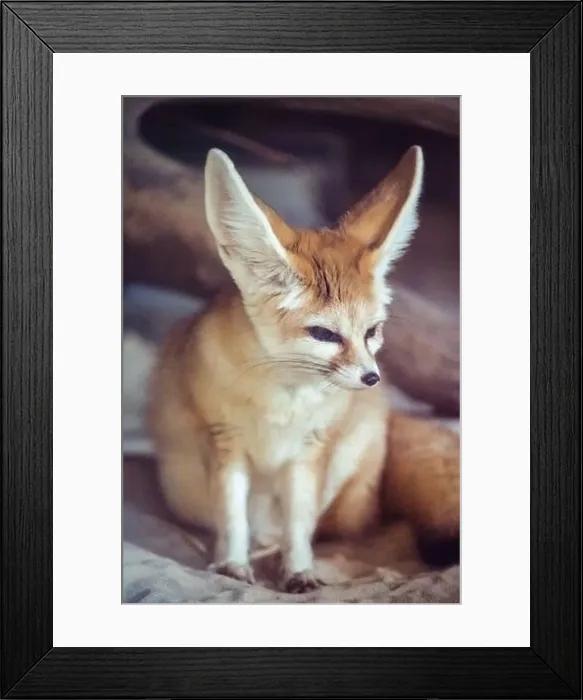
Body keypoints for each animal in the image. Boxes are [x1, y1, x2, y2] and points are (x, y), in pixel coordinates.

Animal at [147, 144, 457, 593]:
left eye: (372, 331)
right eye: (323, 334)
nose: (371, 378)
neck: (283, 401)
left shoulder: (308, 452)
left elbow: (298, 524)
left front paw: (299, 571)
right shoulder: (226, 444)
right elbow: (233, 518)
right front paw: (234, 564)